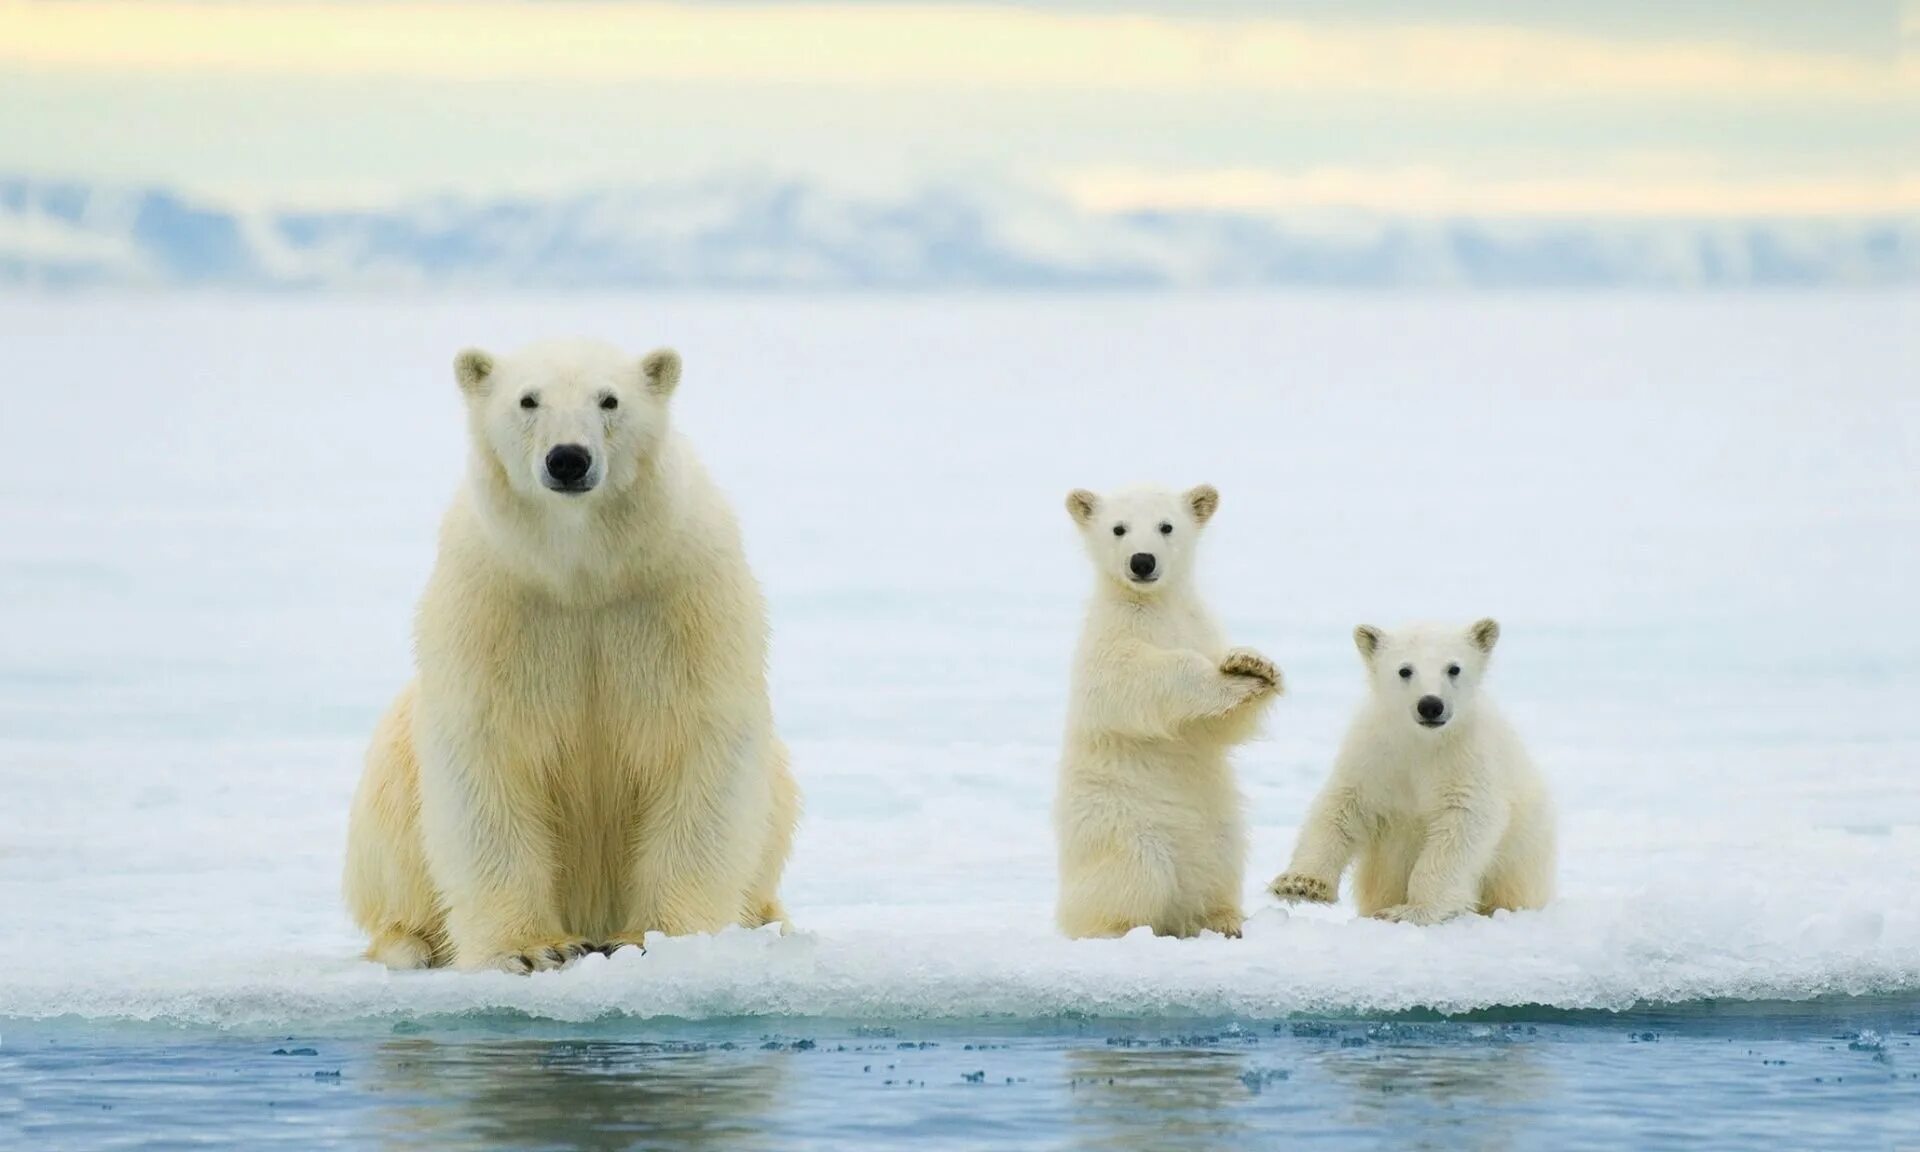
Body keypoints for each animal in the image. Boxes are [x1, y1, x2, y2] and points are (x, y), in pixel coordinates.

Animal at [343, 336, 794, 971]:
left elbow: (699, 746)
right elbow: (487, 757)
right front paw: (532, 949)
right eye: (528, 400)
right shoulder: (494, 608)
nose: (568, 459)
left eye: (609, 399)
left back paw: (768, 922)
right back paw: (411, 943)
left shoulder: (682, 603)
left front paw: (655, 939)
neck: (584, 573)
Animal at [1059, 481, 1282, 940]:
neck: (1154, 604)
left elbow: (1221, 729)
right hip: (1122, 825)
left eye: (1166, 526)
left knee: (1220, 861)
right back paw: (1118, 929)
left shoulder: (1199, 625)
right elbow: (1127, 678)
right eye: (1118, 528)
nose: (1142, 561)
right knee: (1135, 875)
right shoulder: (1108, 638)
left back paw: (1225, 920)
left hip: (1218, 825)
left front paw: (1253, 665)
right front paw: (1228, 677)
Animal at [1267, 618, 1551, 921]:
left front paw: (1411, 910)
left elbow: (1462, 823)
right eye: (1405, 670)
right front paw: (1300, 884)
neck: (1422, 742)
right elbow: (1341, 808)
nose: (1430, 705)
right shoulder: (1375, 757)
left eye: (1454, 668)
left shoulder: (1466, 761)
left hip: (1521, 859)